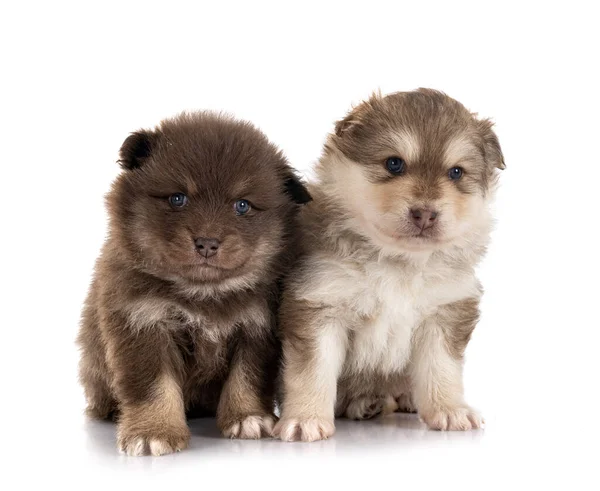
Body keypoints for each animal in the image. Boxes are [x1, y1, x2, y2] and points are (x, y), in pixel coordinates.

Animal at [78, 112, 312, 458]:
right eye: (178, 198)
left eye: (242, 205)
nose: (207, 243)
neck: (204, 293)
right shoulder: (141, 323)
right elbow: (153, 385)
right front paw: (153, 430)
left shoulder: (256, 328)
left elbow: (247, 377)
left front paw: (248, 417)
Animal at [274, 88, 504, 442]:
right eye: (394, 164)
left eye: (456, 172)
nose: (425, 214)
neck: (398, 261)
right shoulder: (319, 304)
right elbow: (311, 372)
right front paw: (305, 418)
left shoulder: (445, 311)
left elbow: (442, 369)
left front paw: (451, 410)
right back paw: (364, 403)